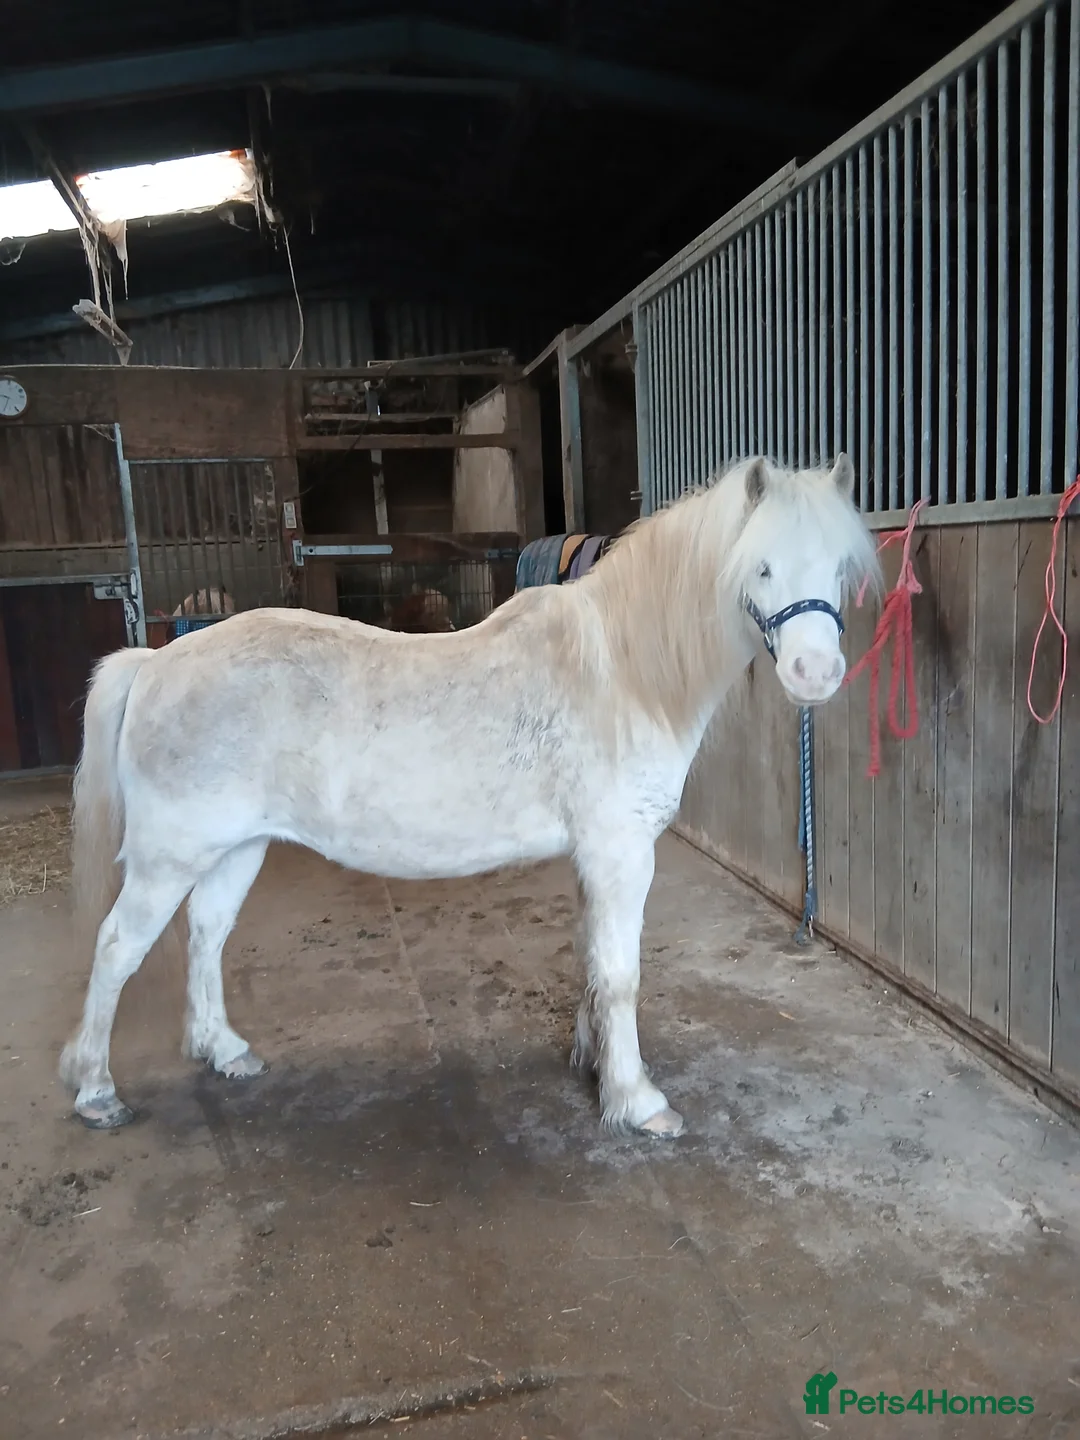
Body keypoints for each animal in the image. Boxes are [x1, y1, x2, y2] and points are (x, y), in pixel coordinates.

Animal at [60, 455, 878, 1137]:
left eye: (839, 566)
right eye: (760, 567)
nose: (815, 674)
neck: (620, 672)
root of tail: (155, 661)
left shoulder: (592, 858)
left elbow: (590, 959)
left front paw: (592, 1064)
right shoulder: (620, 853)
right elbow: (621, 975)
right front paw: (637, 1100)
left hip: (237, 847)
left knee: (206, 934)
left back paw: (225, 1050)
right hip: (170, 857)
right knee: (116, 947)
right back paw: (96, 1090)